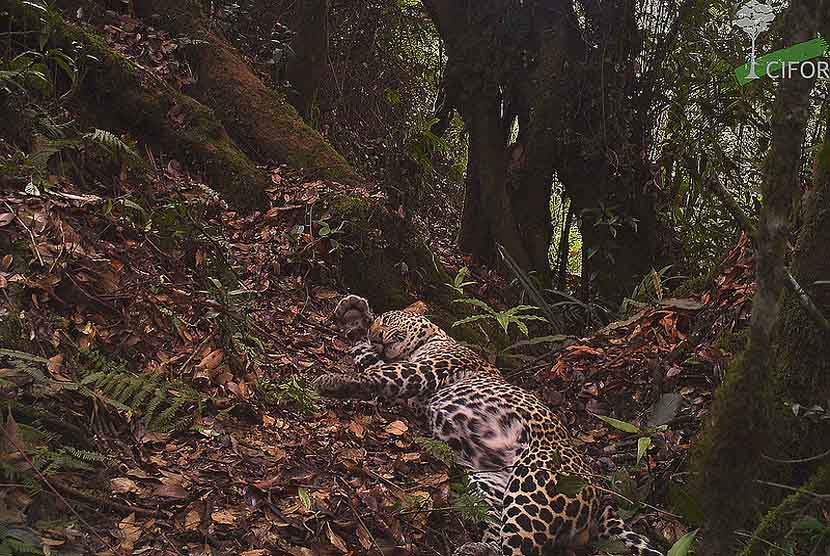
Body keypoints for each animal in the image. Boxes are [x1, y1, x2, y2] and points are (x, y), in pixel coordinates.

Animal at [316, 296, 668, 556]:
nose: (377, 335)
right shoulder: (410, 387)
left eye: (388, 321)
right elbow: (368, 360)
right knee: (498, 529)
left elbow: (378, 373)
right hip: (490, 482)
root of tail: (601, 494)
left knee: (523, 549)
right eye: (378, 325)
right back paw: (477, 548)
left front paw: (331, 380)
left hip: (536, 485)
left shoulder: (424, 369)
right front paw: (354, 317)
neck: (434, 339)